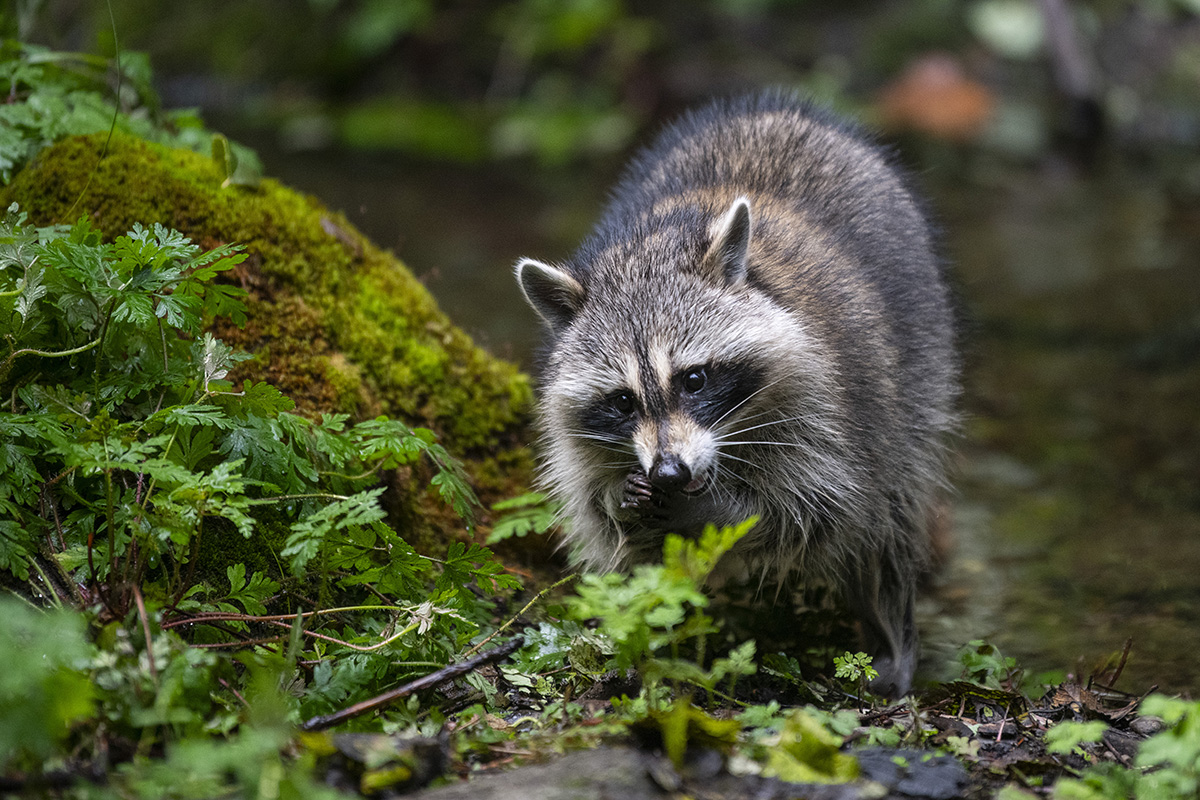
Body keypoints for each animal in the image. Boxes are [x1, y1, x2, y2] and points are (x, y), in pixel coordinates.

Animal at [514, 91, 958, 696]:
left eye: (693, 379)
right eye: (624, 401)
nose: (669, 473)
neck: (648, 251)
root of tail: (771, 109)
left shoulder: (835, 405)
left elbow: (818, 512)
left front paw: (713, 510)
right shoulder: (584, 442)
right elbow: (600, 518)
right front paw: (620, 503)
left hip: (914, 373)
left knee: (890, 514)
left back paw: (892, 630)